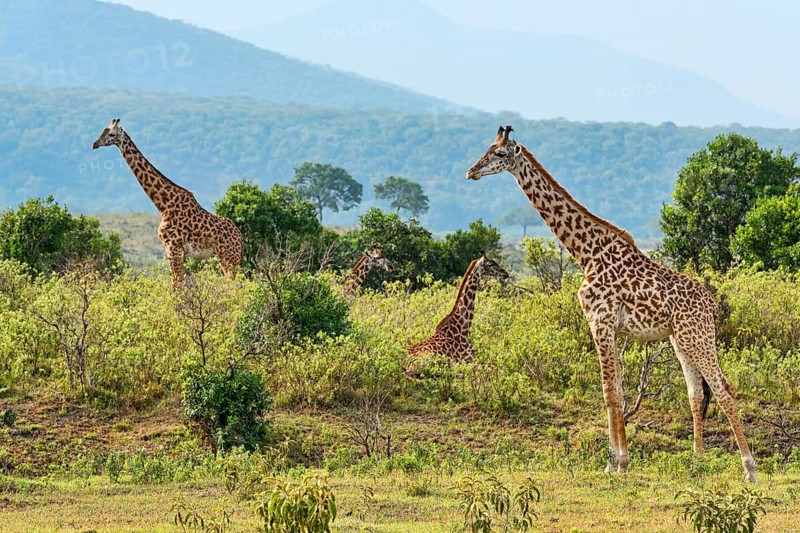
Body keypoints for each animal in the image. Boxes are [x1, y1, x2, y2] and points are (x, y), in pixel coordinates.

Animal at [92, 119, 243, 289]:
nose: (94, 144)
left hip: (228, 257)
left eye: (111, 134)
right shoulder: (174, 250)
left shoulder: (173, 247)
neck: (163, 205)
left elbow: (177, 286)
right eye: (102, 131)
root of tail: (240, 237)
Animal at [466, 126, 756, 482]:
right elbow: (617, 389)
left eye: (500, 153)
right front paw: (615, 460)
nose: (471, 171)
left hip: (697, 336)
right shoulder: (611, 327)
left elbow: (609, 392)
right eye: (487, 148)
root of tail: (712, 305)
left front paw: (617, 461)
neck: (586, 253)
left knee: (724, 388)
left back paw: (749, 468)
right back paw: (697, 461)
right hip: (681, 340)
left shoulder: (600, 321)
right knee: (697, 393)